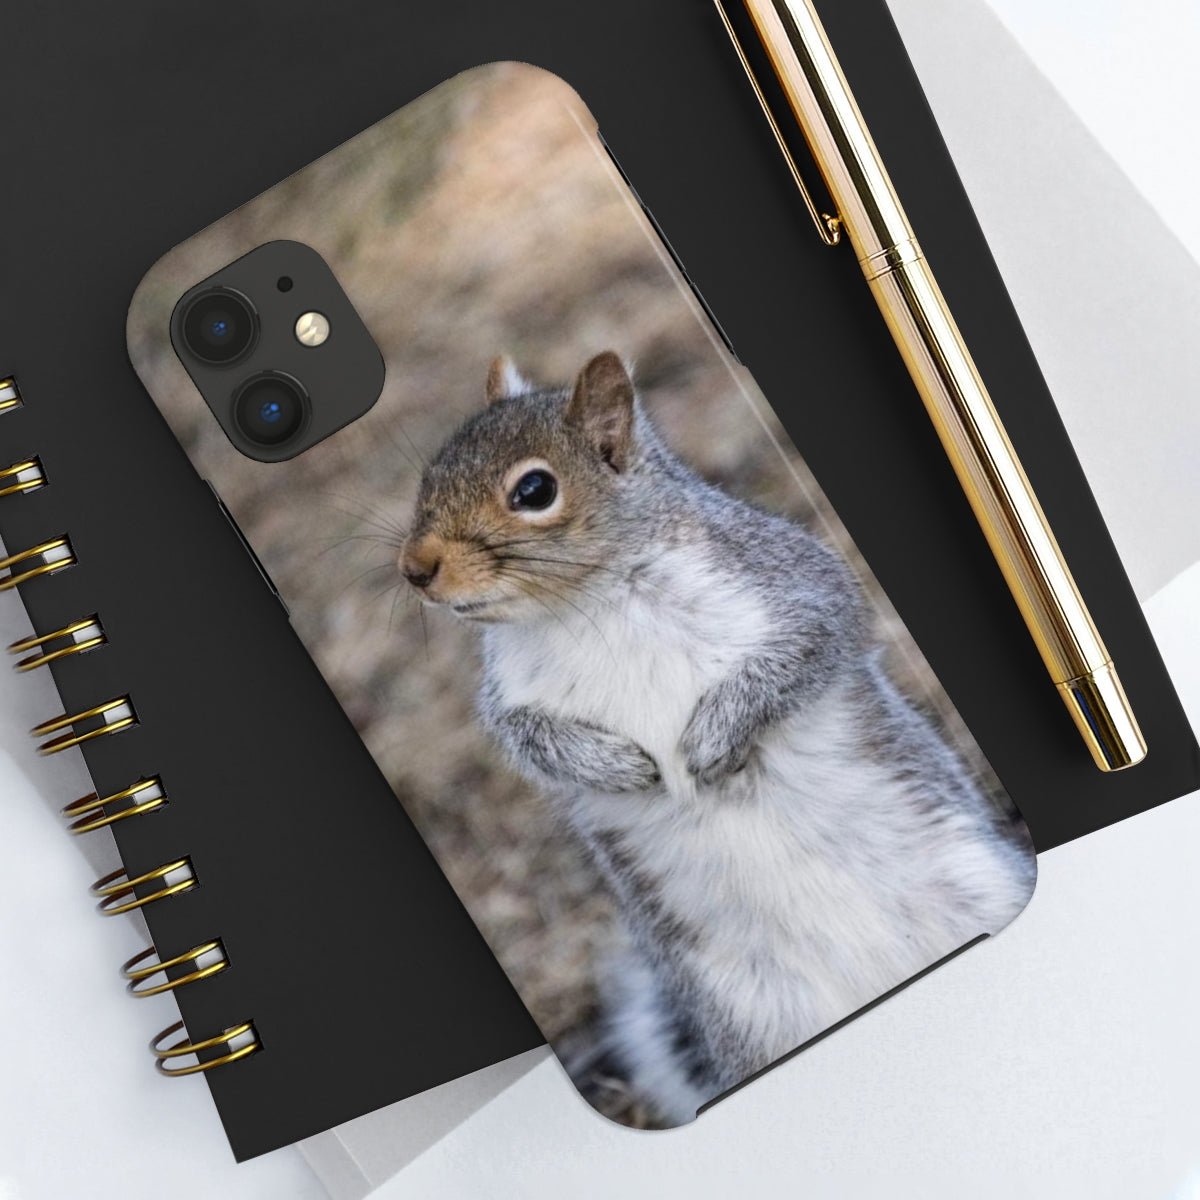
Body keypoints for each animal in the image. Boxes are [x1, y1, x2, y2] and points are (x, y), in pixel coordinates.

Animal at [400, 351, 1036, 1126]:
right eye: (428, 477)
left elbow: (810, 642)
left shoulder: (789, 581)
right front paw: (619, 766)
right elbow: (530, 741)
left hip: (988, 888)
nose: (414, 569)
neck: (586, 604)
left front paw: (708, 741)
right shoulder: (509, 698)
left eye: (534, 490)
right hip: (748, 1019)